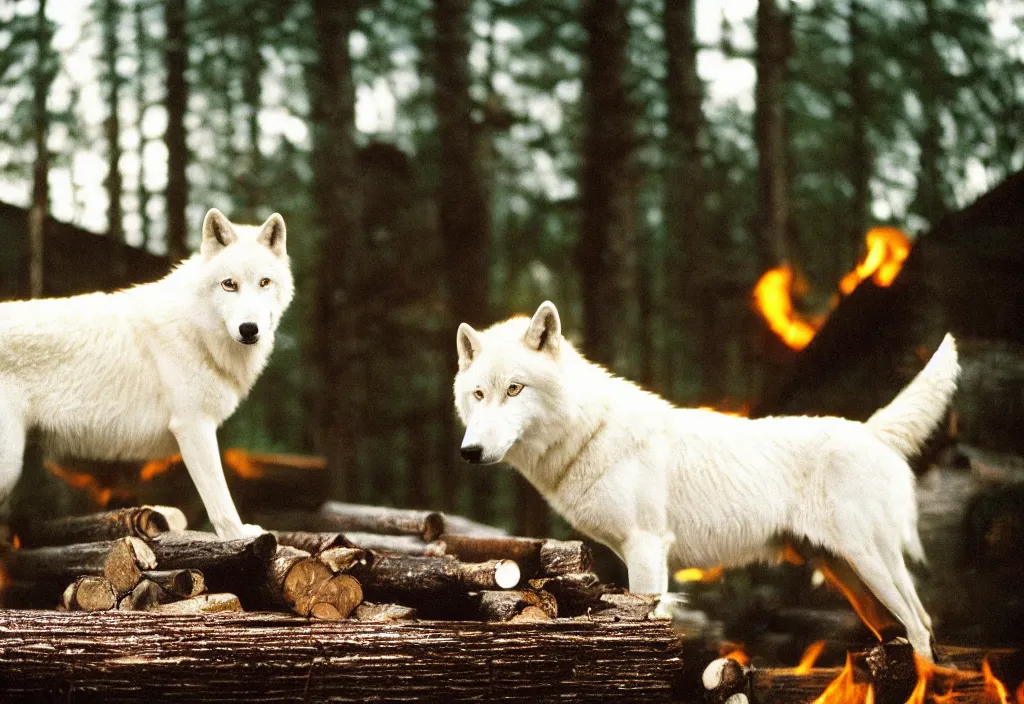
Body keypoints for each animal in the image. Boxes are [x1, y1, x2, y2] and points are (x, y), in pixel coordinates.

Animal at [1, 208, 296, 540]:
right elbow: (220, 501)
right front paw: (240, 538)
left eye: (264, 282)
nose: (249, 329)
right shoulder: (193, 426)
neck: (198, 330)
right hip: (9, 465)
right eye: (229, 284)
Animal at [456, 298, 958, 658]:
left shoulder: (647, 548)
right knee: (912, 627)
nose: (470, 453)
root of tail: (871, 430)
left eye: (515, 389)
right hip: (850, 577)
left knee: (920, 625)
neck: (590, 431)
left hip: (870, 565)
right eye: (478, 394)